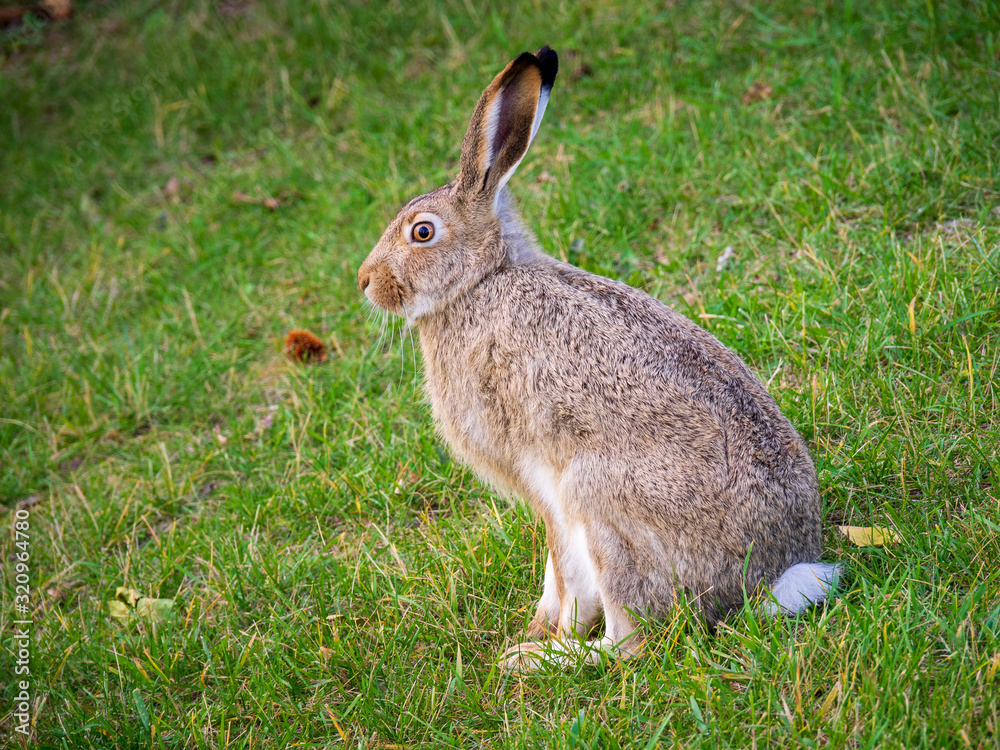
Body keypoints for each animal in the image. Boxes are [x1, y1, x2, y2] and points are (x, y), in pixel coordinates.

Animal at [357, 45, 843, 671]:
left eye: (422, 233)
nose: (366, 282)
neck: (480, 281)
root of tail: (767, 580)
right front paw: (540, 625)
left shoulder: (544, 481)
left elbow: (562, 569)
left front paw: (545, 634)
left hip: (602, 500)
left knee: (631, 645)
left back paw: (545, 661)